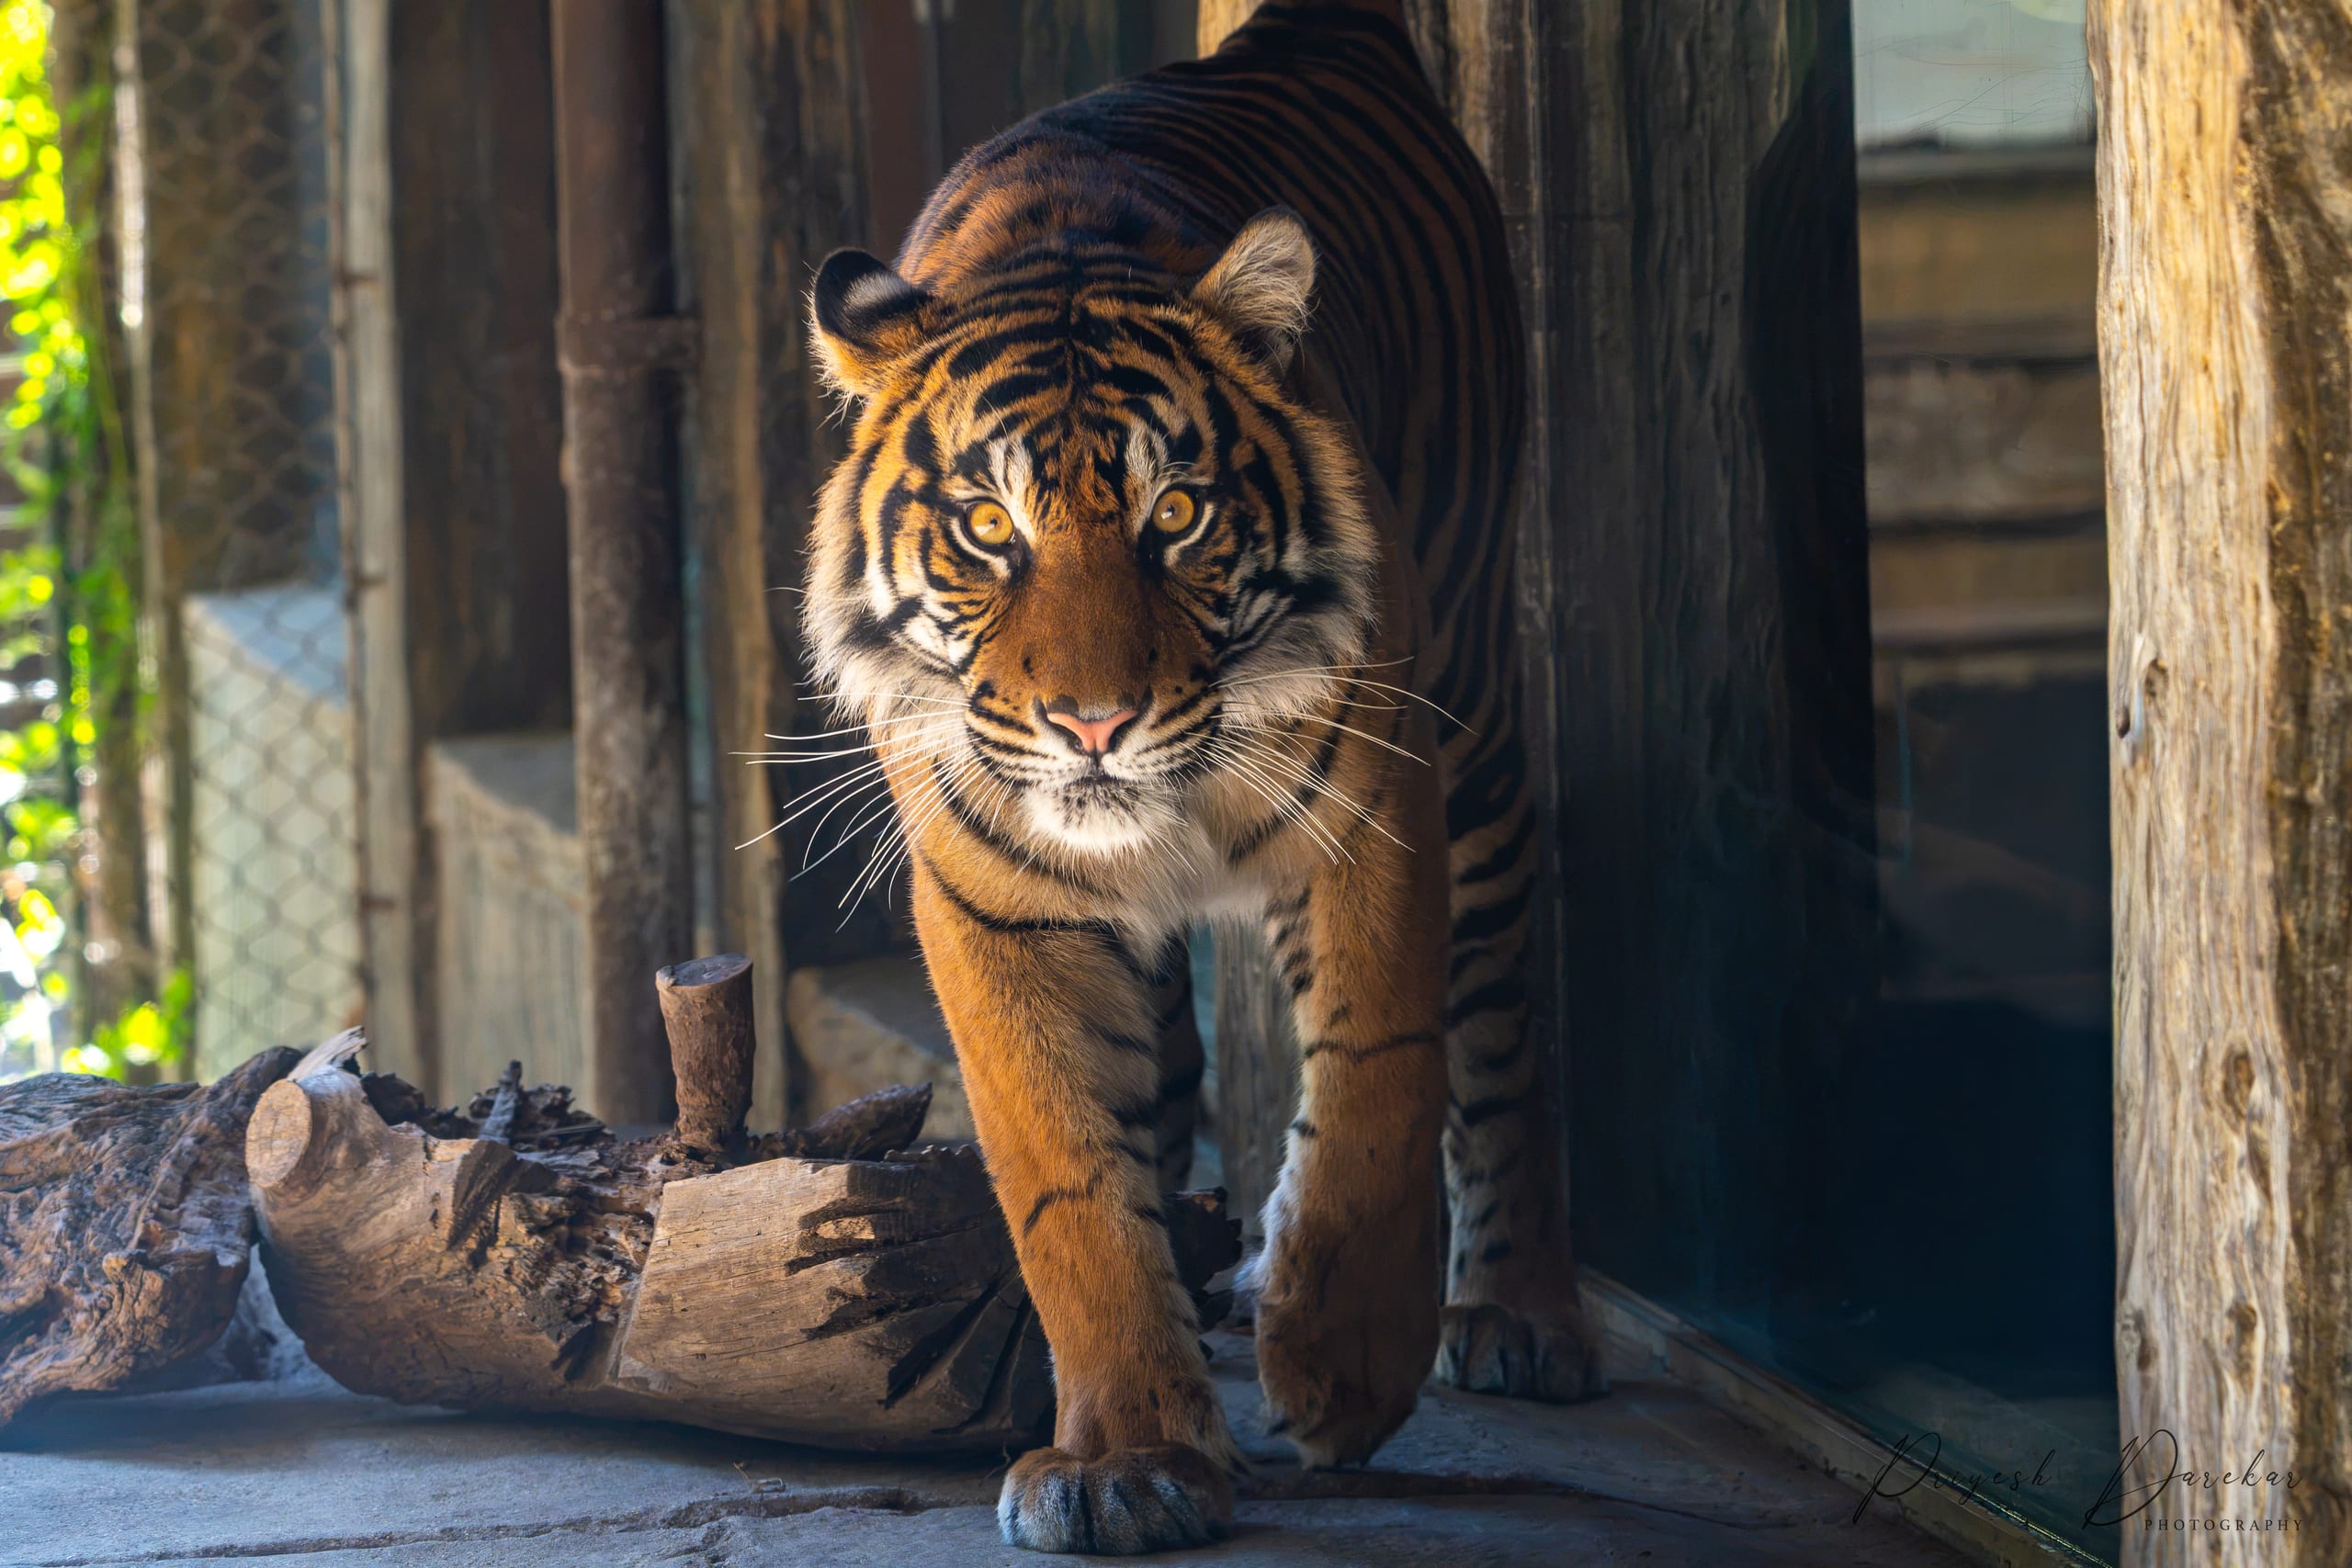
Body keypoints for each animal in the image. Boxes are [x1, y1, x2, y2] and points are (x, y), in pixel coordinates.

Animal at [803, 0, 1603, 1553]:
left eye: (1176, 514)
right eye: (988, 527)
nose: (1094, 721)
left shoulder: (1375, 813)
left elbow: (1375, 1088)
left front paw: (1344, 1367)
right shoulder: (997, 900)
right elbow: (1071, 1178)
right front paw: (1125, 1456)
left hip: (1477, 710)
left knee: (1500, 1017)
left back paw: (1519, 1312)